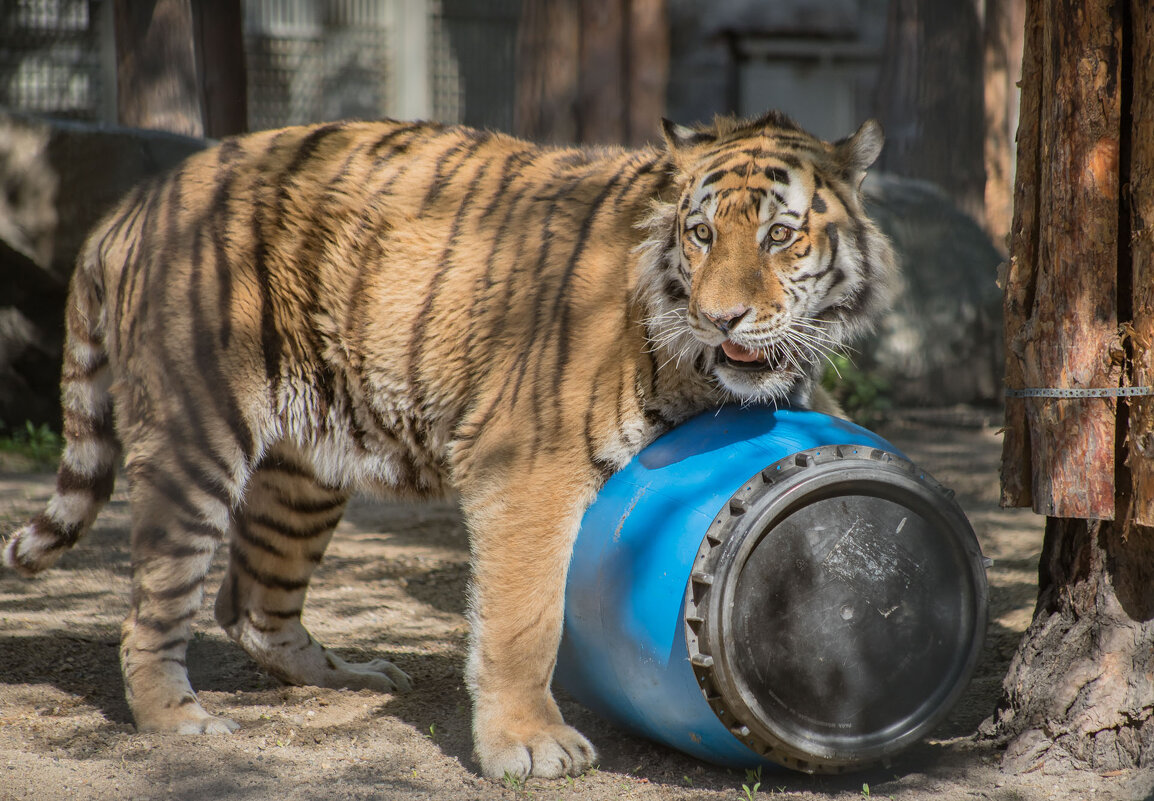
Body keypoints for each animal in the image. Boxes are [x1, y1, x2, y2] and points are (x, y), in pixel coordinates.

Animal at [4, 109, 895, 780]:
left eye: (779, 236)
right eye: (703, 233)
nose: (721, 318)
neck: (704, 371)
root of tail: (130, 206)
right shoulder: (528, 469)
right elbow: (523, 620)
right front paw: (529, 745)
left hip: (303, 471)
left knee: (251, 602)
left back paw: (350, 674)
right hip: (197, 437)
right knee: (153, 607)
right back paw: (179, 721)